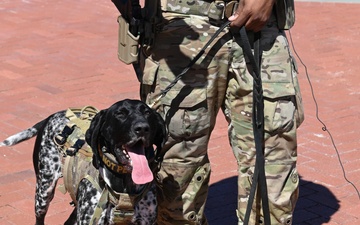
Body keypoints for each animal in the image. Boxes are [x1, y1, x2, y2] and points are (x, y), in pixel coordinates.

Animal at [0, 99, 166, 224]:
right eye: (120, 114)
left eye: (147, 113)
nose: (142, 127)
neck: (124, 184)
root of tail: (51, 116)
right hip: (43, 193)